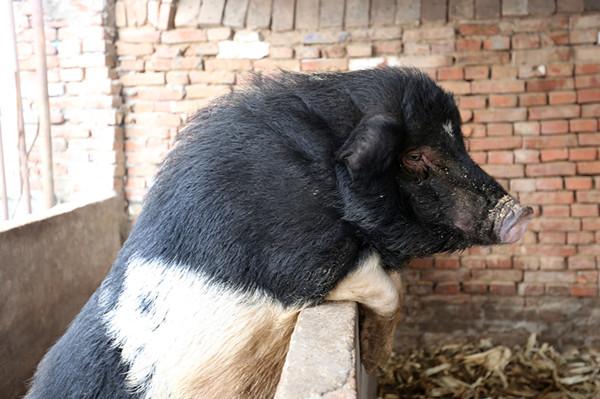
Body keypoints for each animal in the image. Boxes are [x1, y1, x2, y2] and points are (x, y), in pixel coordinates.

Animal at [25, 67, 532, 398]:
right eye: (413, 156)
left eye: (459, 142)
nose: (520, 212)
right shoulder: (299, 264)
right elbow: (388, 289)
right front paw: (374, 353)